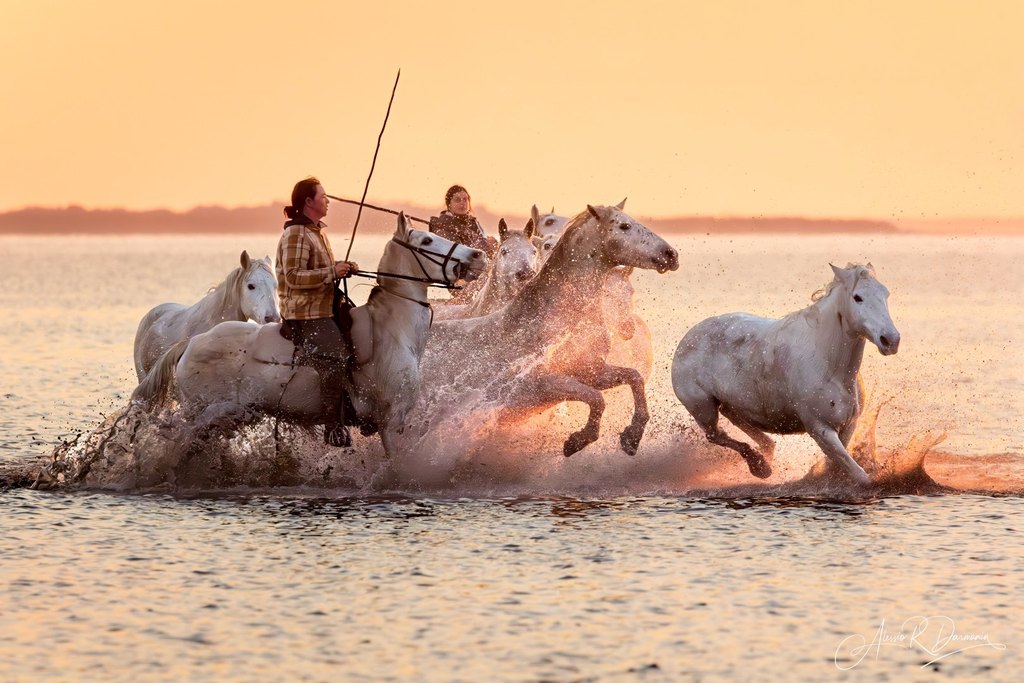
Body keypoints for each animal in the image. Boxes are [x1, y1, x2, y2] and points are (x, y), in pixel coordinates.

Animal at [419, 202, 678, 458]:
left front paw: (631, 437)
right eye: (625, 226)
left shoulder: (593, 371)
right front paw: (577, 440)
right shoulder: (540, 385)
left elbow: (634, 378)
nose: (671, 254)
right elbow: (595, 398)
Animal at [671, 263, 900, 486]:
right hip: (702, 407)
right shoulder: (819, 428)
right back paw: (759, 466)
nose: (891, 340)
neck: (829, 365)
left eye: (886, 293)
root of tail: (687, 339)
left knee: (743, 426)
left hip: (730, 404)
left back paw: (763, 459)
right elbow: (859, 475)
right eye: (857, 297)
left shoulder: (848, 424)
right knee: (715, 434)